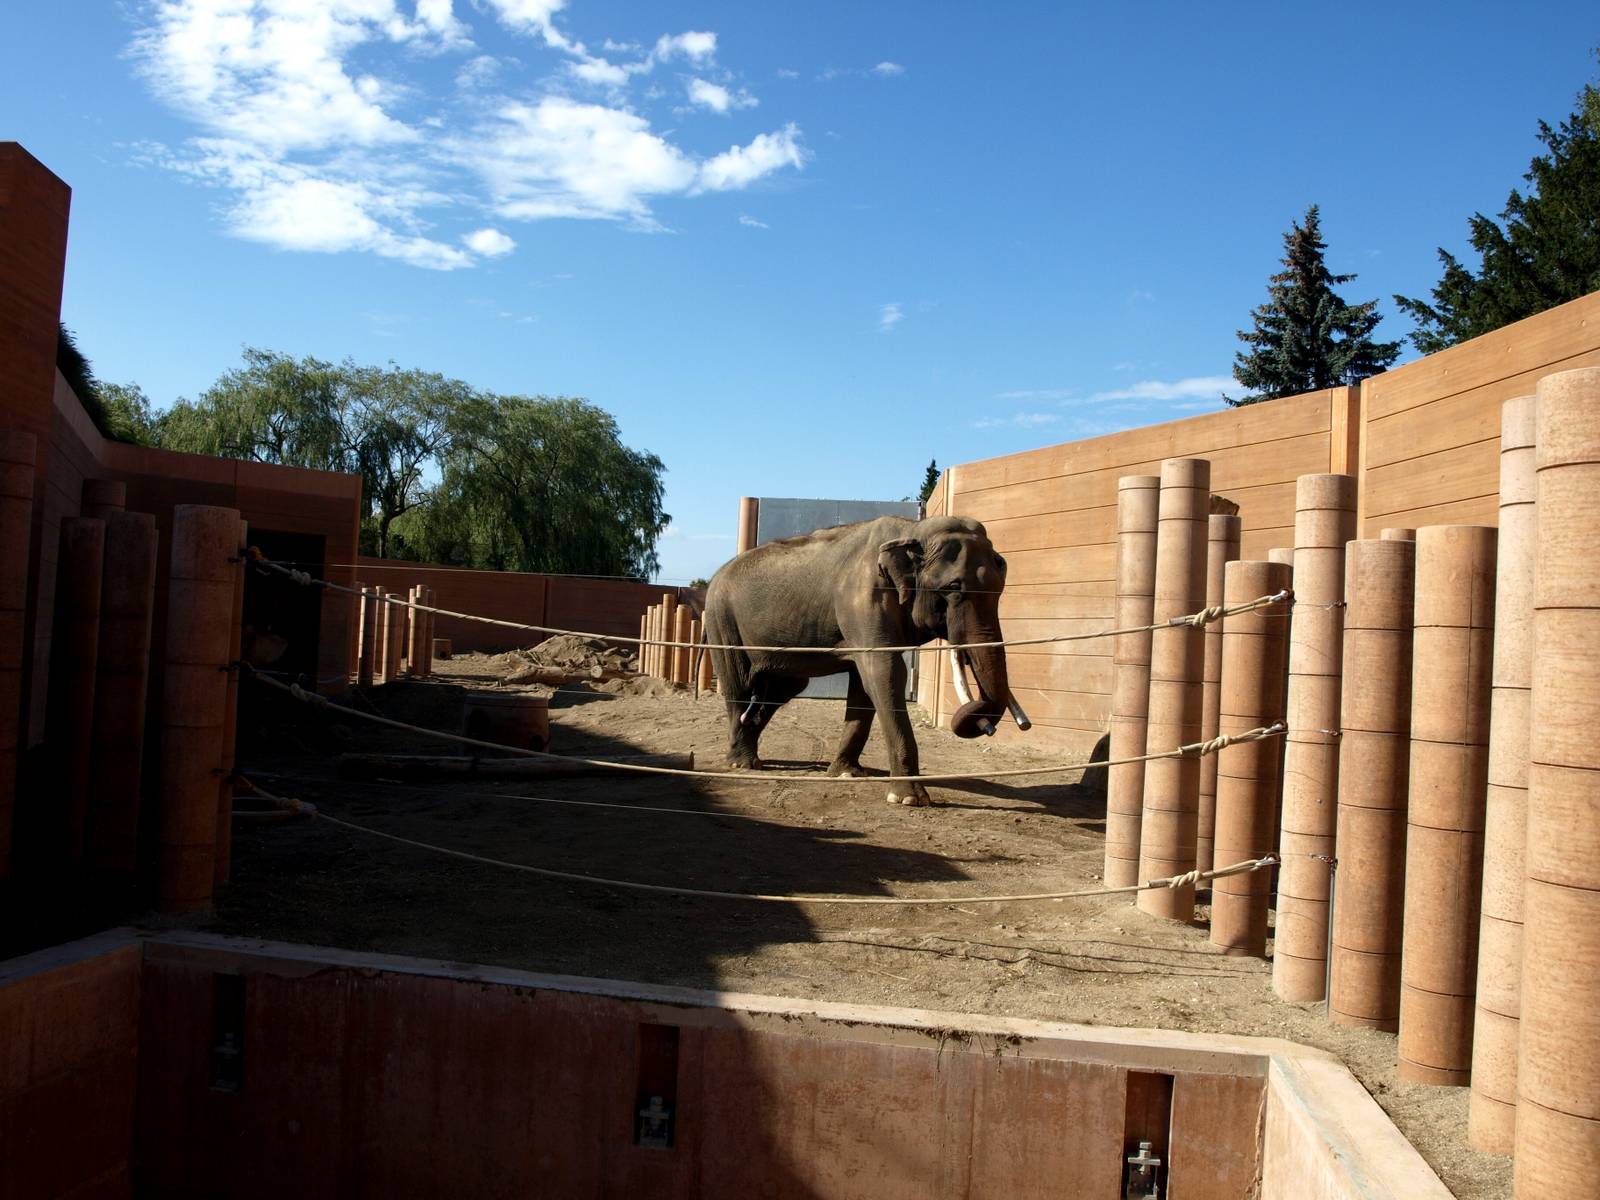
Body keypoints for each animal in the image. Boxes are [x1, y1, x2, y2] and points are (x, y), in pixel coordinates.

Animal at [701, 514, 1030, 806]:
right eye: (952, 588)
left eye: (1001, 588)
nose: (991, 726)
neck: (913, 531)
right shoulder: (865, 598)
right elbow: (885, 674)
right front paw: (908, 799)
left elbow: (866, 682)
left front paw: (845, 774)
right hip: (721, 620)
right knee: (739, 685)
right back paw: (741, 763)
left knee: (784, 688)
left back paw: (752, 747)